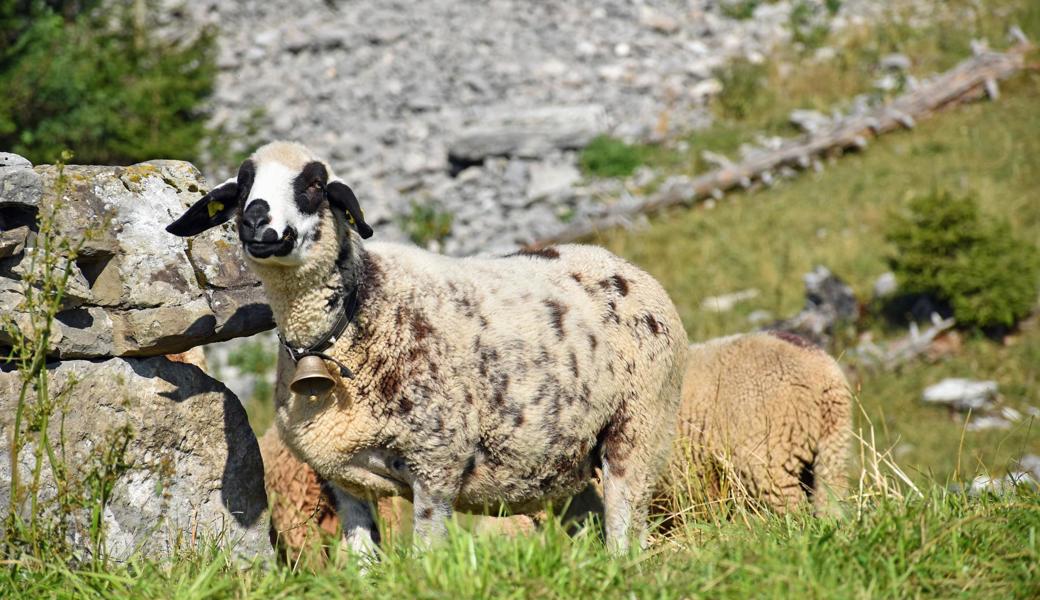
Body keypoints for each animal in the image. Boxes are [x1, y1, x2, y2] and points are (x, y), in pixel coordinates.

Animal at [166, 141, 687, 555]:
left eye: (313, 184)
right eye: (243, 186)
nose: (256, 220)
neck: (350, 320)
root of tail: (621, 265)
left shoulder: (437, 465)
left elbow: (425, 556)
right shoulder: (342, 479)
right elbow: (362, 560)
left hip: (639, 429)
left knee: (625, 531)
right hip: (563, 458)